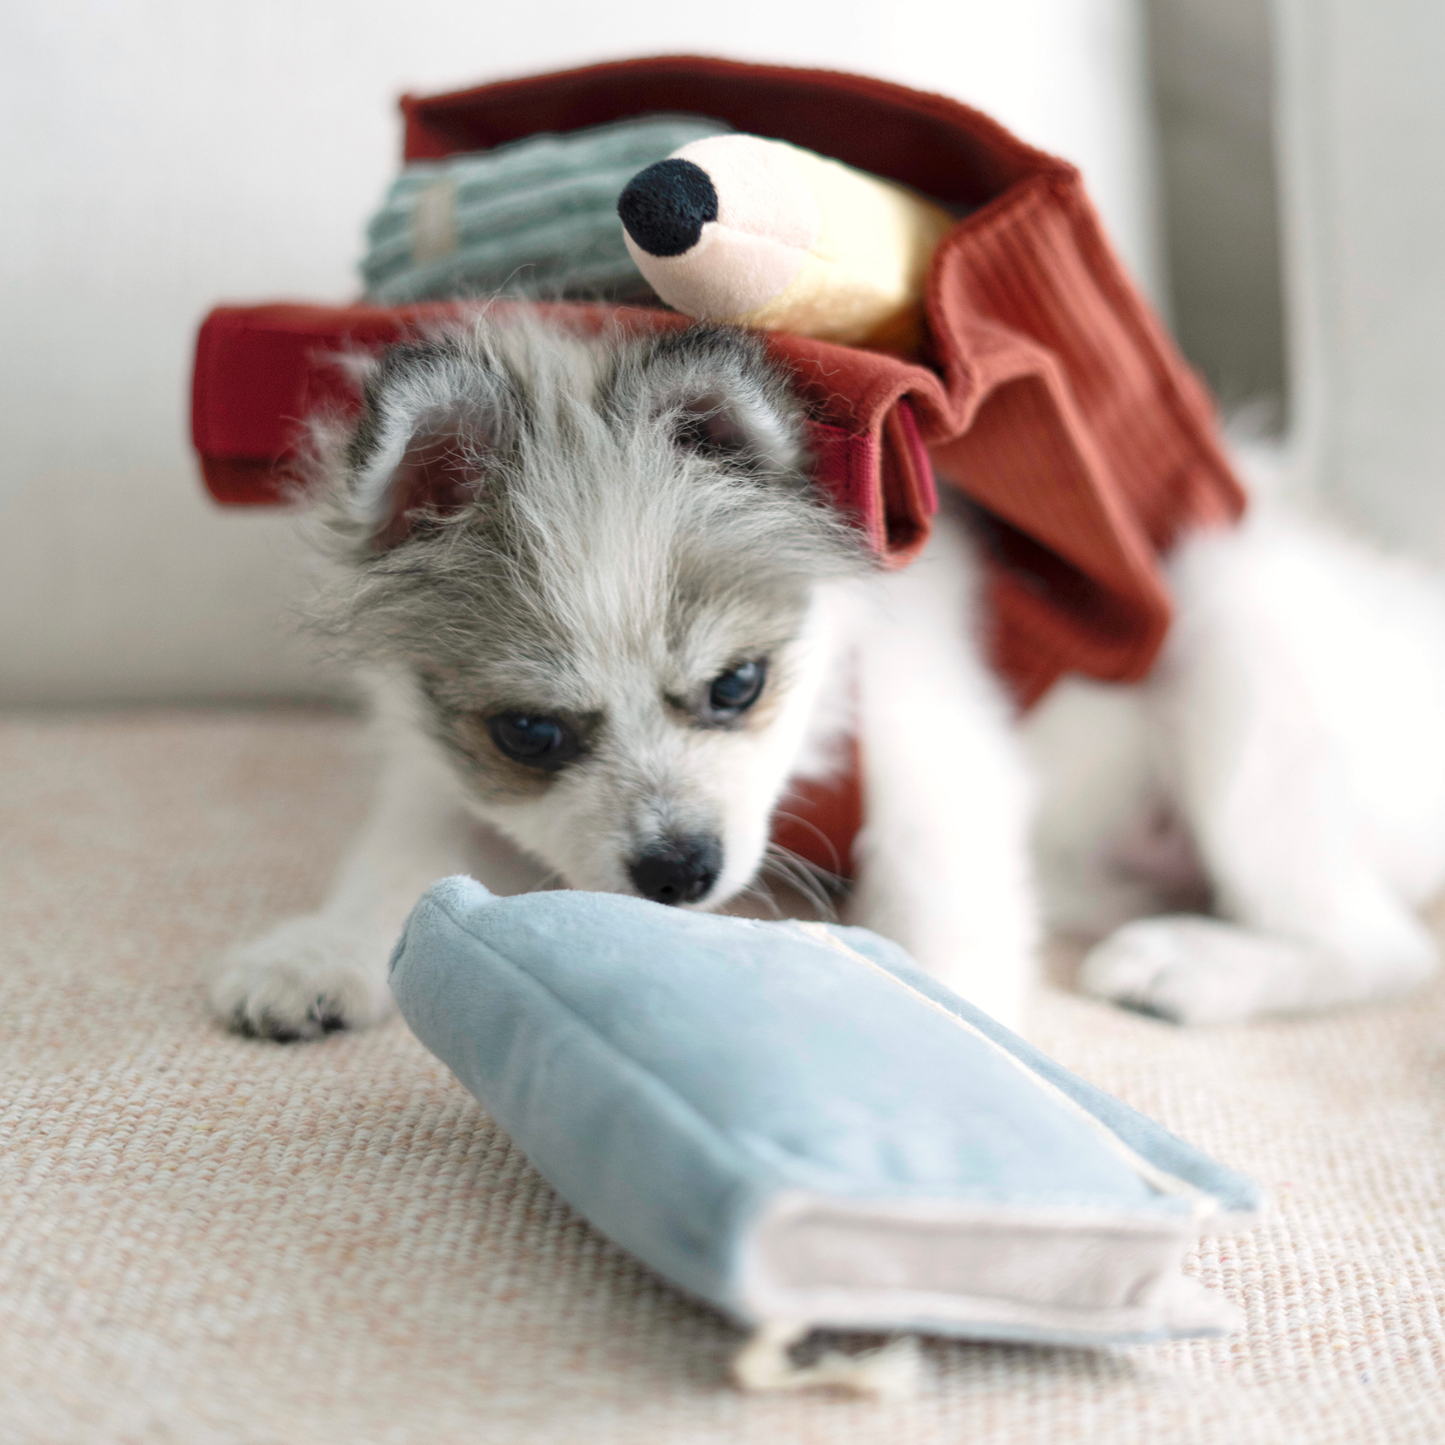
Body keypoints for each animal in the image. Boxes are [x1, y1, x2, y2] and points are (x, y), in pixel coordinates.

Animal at [209, 313, 1445, 1040]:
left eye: (737, 684)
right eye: (530, 734)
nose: (679, 869)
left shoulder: (936, 769)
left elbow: (938, 921)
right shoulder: (444, 776)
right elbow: (393, 864)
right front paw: (315, 952)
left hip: (1232, 654)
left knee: (1383, 946)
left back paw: (1190, 964)